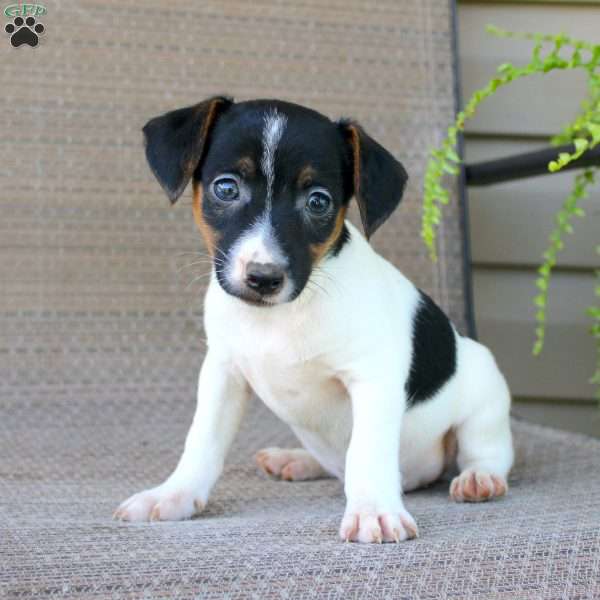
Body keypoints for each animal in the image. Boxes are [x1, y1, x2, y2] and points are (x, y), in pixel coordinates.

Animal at [115, 96, 512, 540]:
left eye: (318, 201)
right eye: (226, 188)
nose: (264, 277)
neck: (280, 318)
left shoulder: (372, 379)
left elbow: (366, 451)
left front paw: (373, 509)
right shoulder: (223, 373)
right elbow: (202, 440)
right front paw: (173, 494)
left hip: (484, 396)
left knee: (485, 450)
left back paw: (479, 478)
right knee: (332, 464)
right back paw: (296, 459)